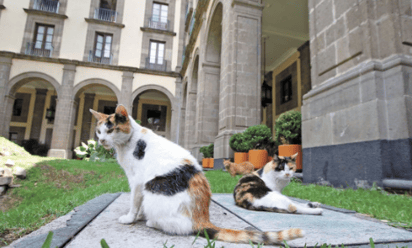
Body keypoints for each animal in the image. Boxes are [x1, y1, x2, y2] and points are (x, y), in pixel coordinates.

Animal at [88, 104, 304, 244]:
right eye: (99, 132)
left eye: (111, 130)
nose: (101, 141)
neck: (128, 143)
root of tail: (202, 218)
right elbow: (138, 202)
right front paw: (138, 215)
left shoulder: (137, 182)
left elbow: (134, 202)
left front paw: (131, 218)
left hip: (153, 188)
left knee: (178, 227)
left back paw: (151, 221)